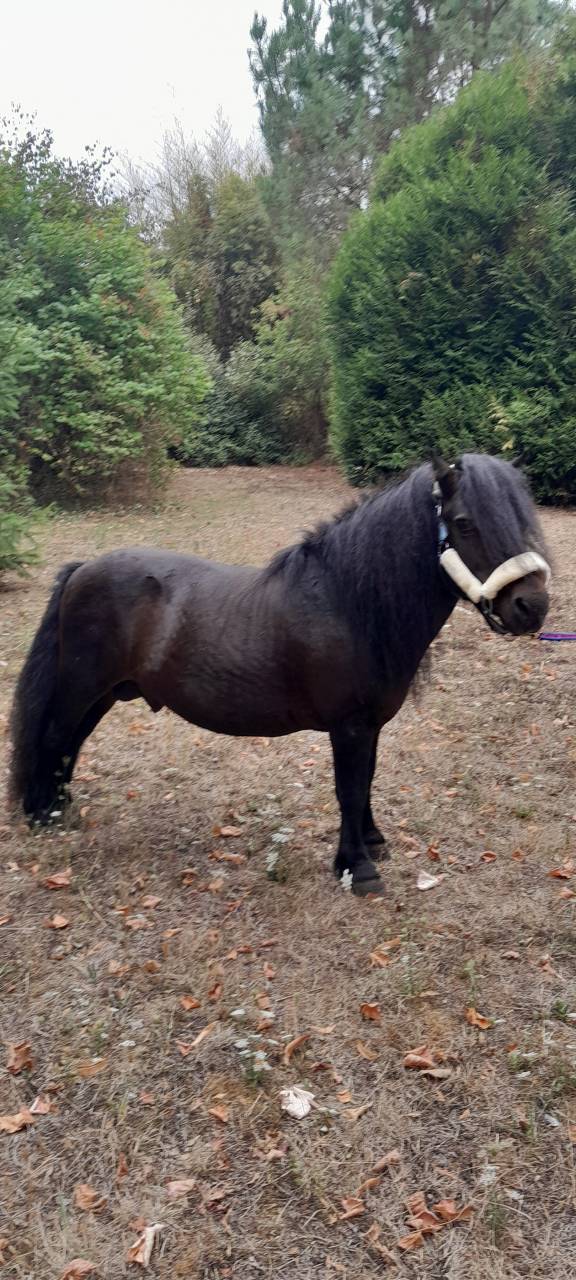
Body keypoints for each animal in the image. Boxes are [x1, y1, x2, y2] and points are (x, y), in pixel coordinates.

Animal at [8, 453, 550, 895]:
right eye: (464, 523)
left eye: (525, 517)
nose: (532, 606)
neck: (346, 602)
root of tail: (82, 569)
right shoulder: (348, 726)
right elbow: (349, 788)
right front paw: (356, 869)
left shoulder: (369, 725)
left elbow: (367, 780)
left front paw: (371, 843)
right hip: (81, 686)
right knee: (55, 737)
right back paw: (42, 814)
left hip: (104, 692)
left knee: (71, 743)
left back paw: (61, 807)